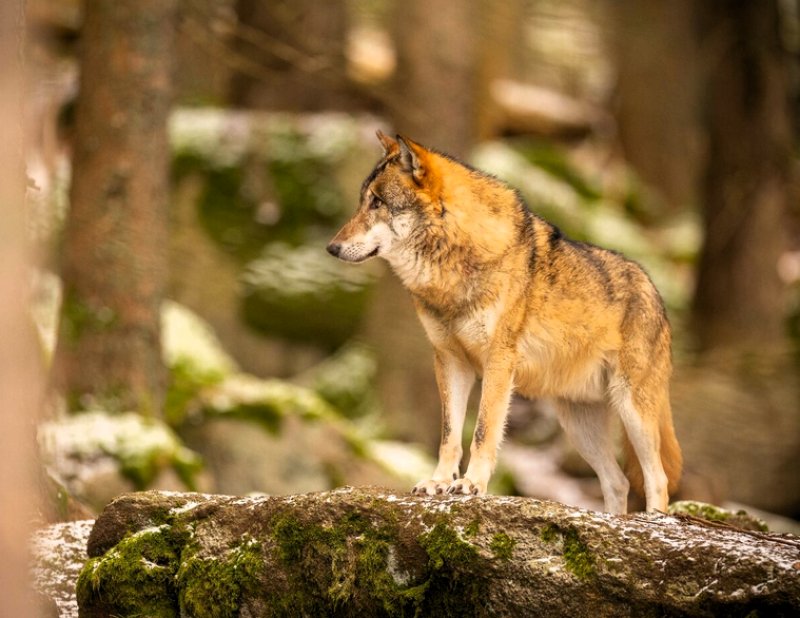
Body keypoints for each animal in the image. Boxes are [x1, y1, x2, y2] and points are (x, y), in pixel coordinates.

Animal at [327, 131, 682, 513]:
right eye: (362, 201)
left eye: (377, 202)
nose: (331, 248)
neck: (451, 266)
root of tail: (655, 292)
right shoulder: (450, 362)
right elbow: (449, 434)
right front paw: (439, 482)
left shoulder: (498, 362)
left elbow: (483, 431)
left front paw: (471, 485)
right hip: (578, 425)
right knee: (617, 481)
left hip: (632, 410)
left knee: (657, 479)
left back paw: (654, 521)